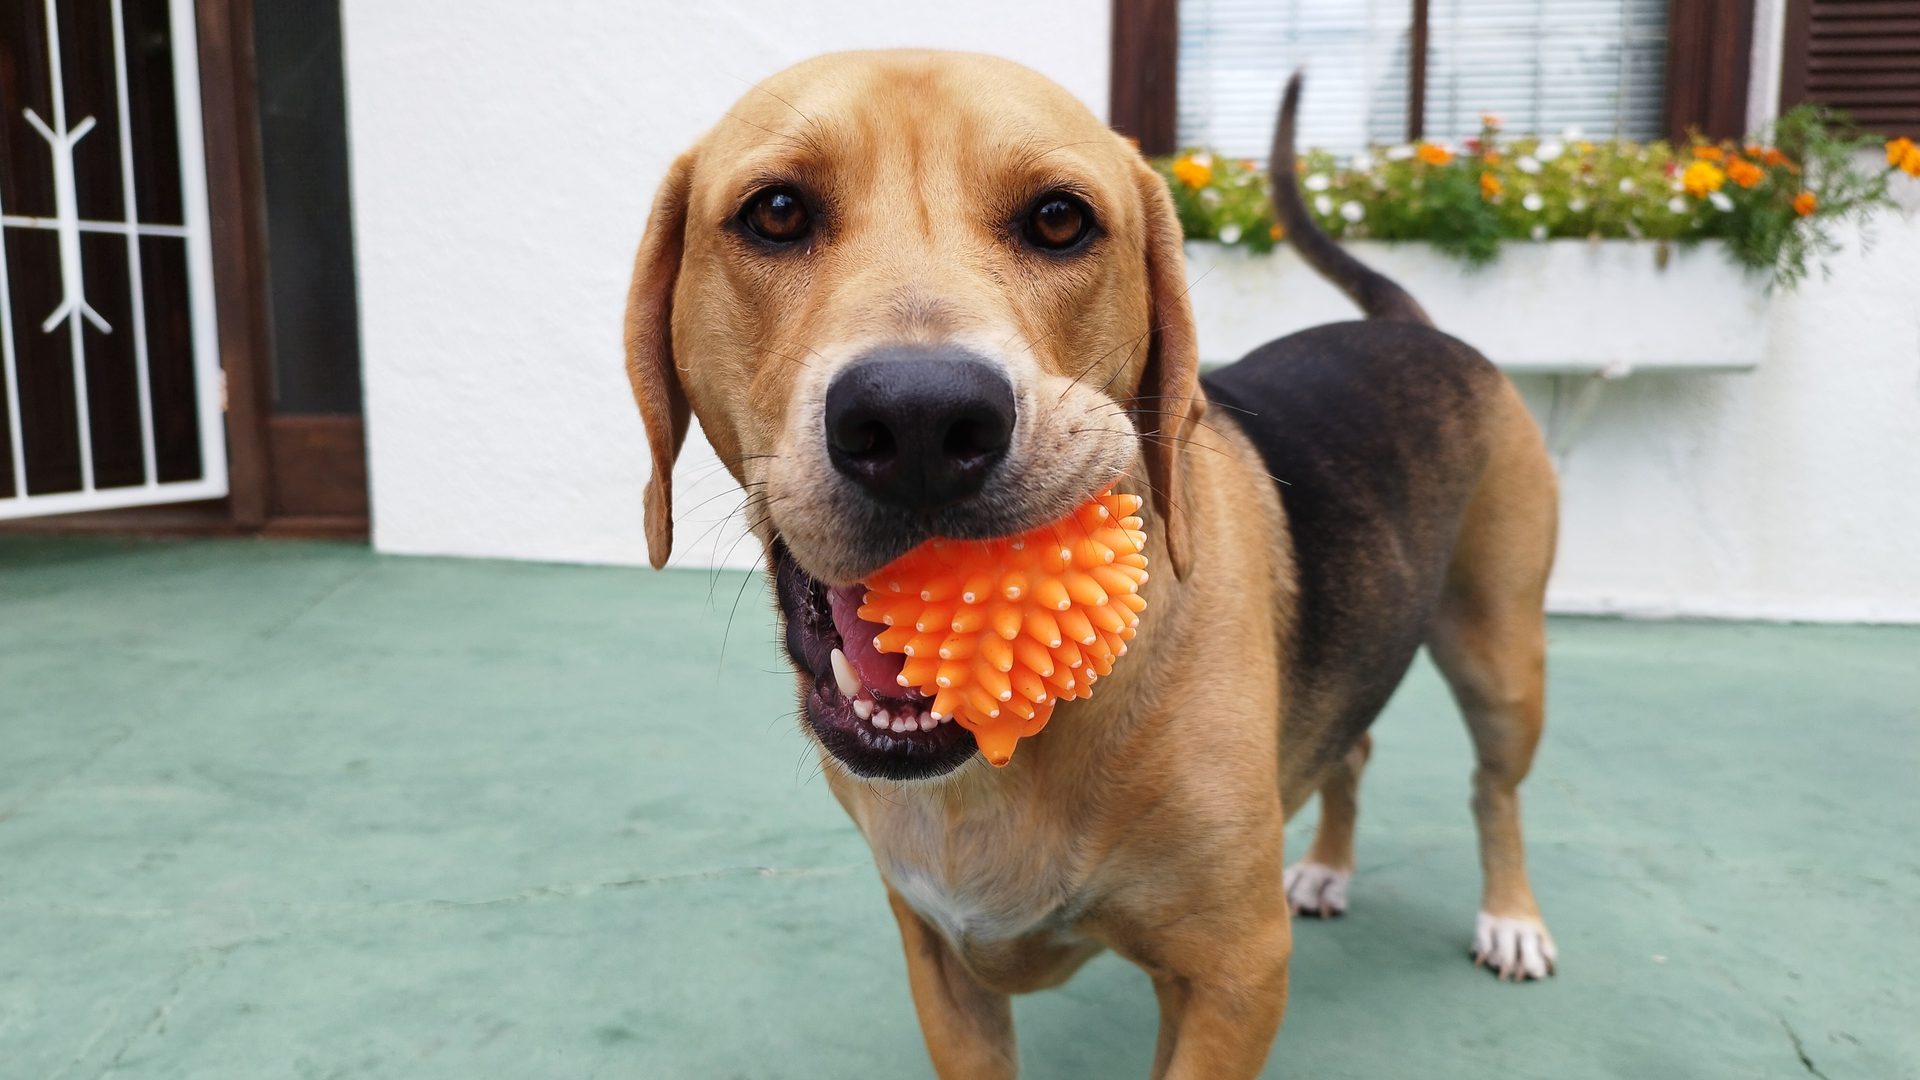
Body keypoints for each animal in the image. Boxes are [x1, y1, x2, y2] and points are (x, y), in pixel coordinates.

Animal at [622, 52, 1551, 1076]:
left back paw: (1511, 917)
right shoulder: (938, 964)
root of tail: (1410, 323)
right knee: (1354, 746)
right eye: (778, 212)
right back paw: (1328, 867)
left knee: (1494, 794)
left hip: (1501, 661)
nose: (918, 422)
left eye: (1060, 220)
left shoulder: (1232, 978)